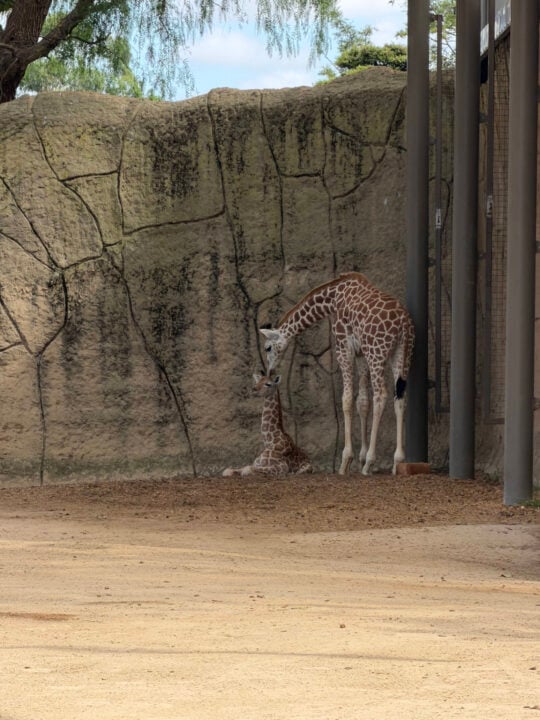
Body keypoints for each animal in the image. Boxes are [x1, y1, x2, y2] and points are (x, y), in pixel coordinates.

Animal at [260, 272, 415, 476]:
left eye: (268, 348)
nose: (270, 371)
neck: (333, 297)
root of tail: (404, 322)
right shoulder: (360, 352)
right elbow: (362, 401)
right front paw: (360, 457)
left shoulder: (344, 347)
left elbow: (347, 399)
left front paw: (346, 461)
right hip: (402, 353)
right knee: (400, 397)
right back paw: (397, 462)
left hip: (377, 353)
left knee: (381, 395)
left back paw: (370, 463)